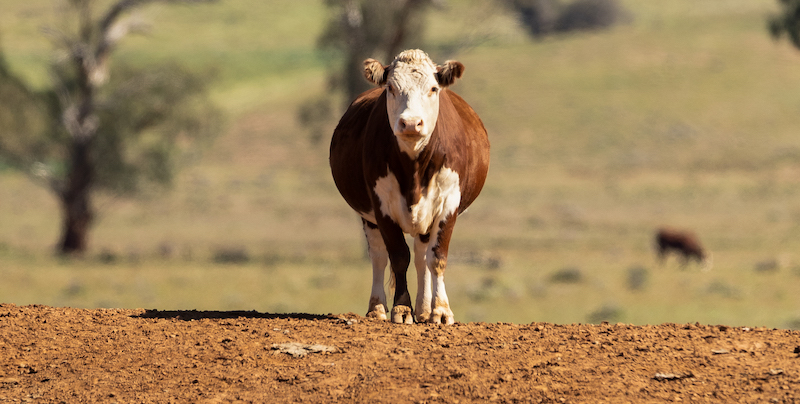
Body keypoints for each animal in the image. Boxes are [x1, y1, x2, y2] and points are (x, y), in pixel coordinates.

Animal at [328, 49, 490, 324]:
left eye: (433, 88)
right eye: (391, 88)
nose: (412, 123)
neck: (413, 167)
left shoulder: (448, 202)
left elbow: (437, 257)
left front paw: (440, 311)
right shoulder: (381, 204)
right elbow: (398, 256)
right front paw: (402, 308)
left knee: (422, 255)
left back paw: (424, 309)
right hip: (368, 217)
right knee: (379, 257)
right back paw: (377, 308)